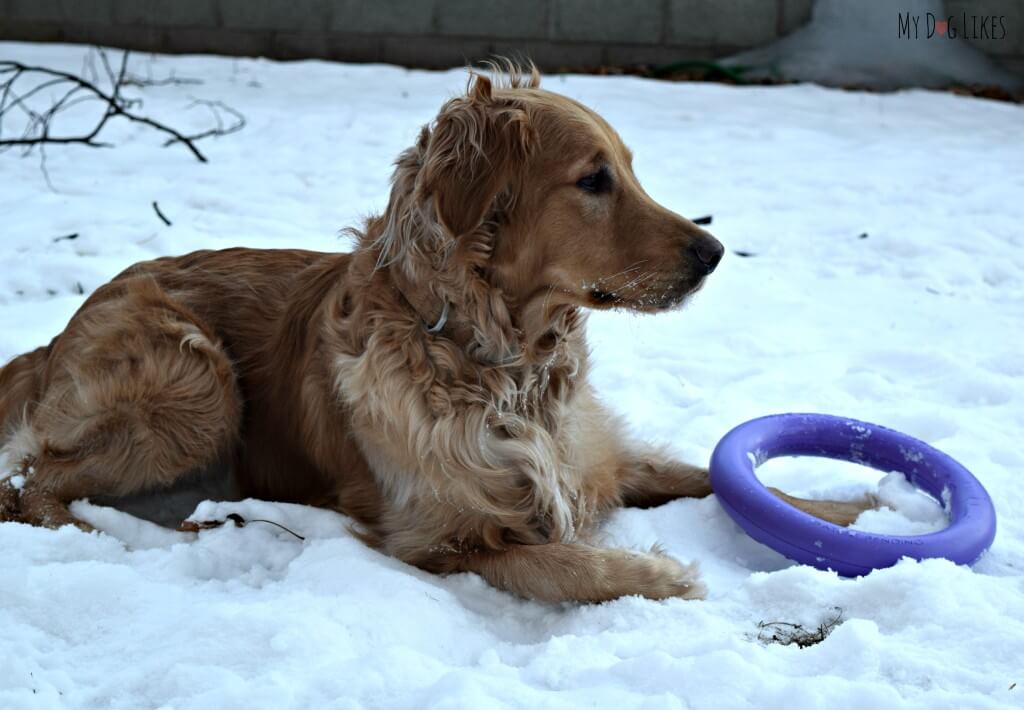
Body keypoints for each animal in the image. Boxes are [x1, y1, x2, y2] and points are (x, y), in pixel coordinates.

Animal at [0, 65, 872, 598]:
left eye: (629, 169)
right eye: (593, 180)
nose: (714, 254)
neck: (505, 366)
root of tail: (58, 335)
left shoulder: (599, 459)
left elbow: (710, 476)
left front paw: (852, 510)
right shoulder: (440, 540)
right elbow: (567, 565)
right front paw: (661, 576)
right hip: (196, 384)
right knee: (30, 483)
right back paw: (122, 535)